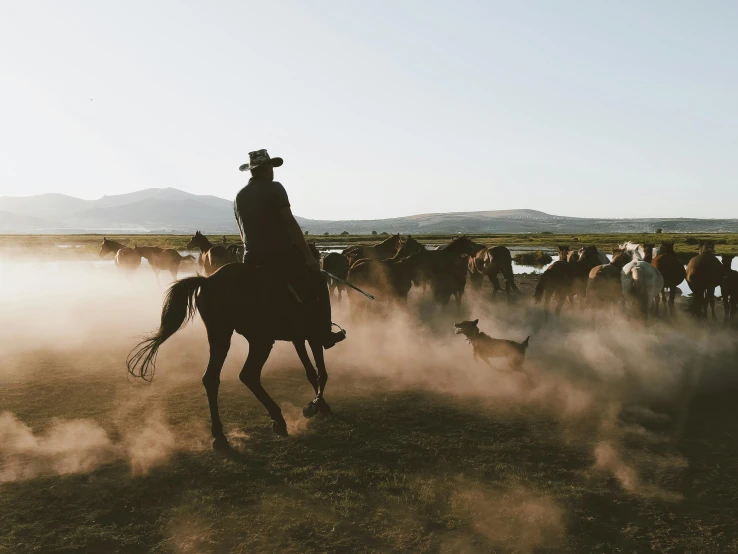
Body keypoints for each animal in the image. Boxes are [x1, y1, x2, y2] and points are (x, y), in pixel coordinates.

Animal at [127, 260, 334, 448]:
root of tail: (208, 281)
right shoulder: (313, 335)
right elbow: (320, 372)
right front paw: (319, 404)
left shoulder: (299, 337)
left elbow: (310, 371)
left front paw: (319, 403)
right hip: (260, 339)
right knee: (249, 374)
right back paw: (277, 418)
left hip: (220, 335)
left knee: (212, 378)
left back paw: (219, 433)